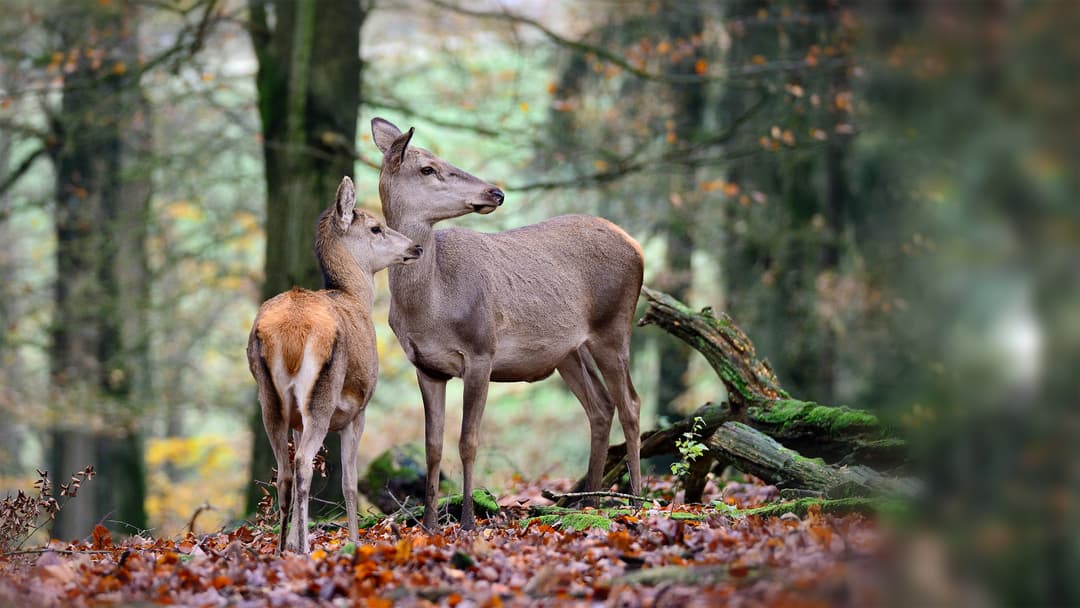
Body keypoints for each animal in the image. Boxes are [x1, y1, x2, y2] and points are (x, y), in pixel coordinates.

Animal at [248, 174, 421, 552]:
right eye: (376, 227)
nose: (415, 247)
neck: (355, 297)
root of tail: (290, 331)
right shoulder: (358, 410)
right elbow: (350, 483)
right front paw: (354, 540)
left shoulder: (297, 420)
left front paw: (294, 541)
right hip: (324, 393)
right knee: (302, 464)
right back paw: (305, 548)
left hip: (270, 397)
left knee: (284, 472)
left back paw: (282, 549)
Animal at [371, 116, 639, 531]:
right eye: (428, 168)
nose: (495, 192)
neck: (430, 304)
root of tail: (637, 247)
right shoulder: (426, 366)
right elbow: (432, 446)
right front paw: (430, 525)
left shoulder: (482, 350)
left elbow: (468, 441)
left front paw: (467, 521)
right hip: (568, 350)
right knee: (601, 405)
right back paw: (588, 503)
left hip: (613, 325)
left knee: (631, 405)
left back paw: (640, 499)